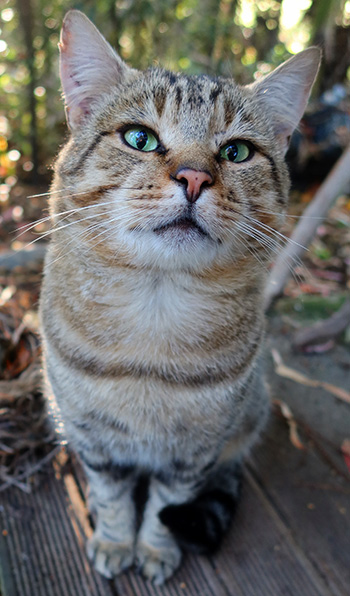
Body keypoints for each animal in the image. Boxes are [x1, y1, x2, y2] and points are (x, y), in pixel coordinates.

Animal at [39, 9, 322, 584]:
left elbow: (165, 506)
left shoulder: (196, 453)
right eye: (139, 138)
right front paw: (115, 540)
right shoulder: (90, 437)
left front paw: (153, 548)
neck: (155, 311)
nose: (194, 177)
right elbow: (112, 496)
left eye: (237, 151)